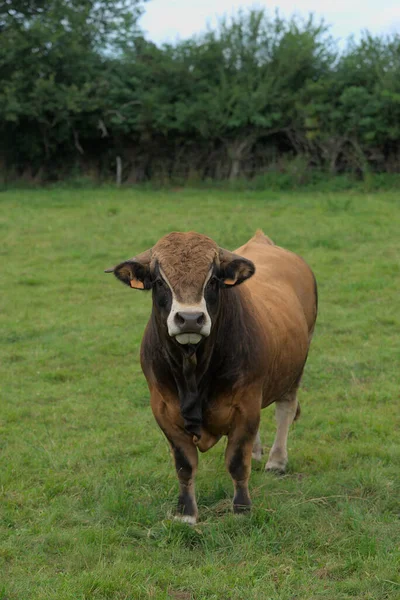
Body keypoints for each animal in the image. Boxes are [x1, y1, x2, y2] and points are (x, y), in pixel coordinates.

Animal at [106, 232, 318, 524]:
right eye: (160, 281)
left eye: (213, 281)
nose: (190, 319)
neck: (192, 371)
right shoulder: (163, 410)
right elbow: (184, 465)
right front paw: (186, 512)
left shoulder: (246, 405)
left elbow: (237, 463)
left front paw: (241, 509)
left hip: (295, 370)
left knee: (284, 411)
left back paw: (277, 460)